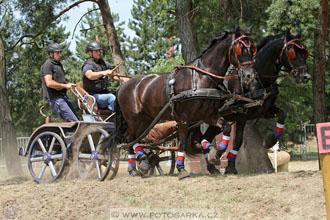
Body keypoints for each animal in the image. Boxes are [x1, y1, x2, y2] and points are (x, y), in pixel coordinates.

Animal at [105, 27, 258, 179]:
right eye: (239, 49)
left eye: (252, 49)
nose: (250, 75)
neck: (201, 78)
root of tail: (123, 86)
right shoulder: (184, 119)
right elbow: (183, 143)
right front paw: (181, 169)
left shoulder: (208, 116)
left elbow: (224, 129)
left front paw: (216, 153)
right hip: (133, 119)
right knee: (129, 139)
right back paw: (136, 166)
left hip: (146, 119)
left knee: (136, 138)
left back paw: (141, 163)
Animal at [191, 28, 312, 174]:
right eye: (292, 51)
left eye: (304, 52)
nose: (305, 76)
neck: (259, 79)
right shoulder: (242, 114)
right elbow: (238, 140)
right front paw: (231, 166)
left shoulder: (264, 110)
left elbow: (282, 115)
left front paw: (271, 140)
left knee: (204, 138)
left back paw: (212, 165)